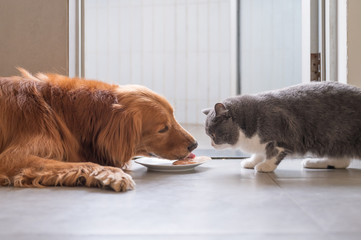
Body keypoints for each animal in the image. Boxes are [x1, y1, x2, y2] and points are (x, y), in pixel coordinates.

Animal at [202, 82, 360, 172]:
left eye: (213, 134)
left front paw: (265, 166)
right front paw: (251, 162)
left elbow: (273, 154)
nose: (212, 144)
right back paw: (314, 162)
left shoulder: (282, 138)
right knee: (343, 161)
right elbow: (259, 153)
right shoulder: (261, 142)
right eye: (208, 135)